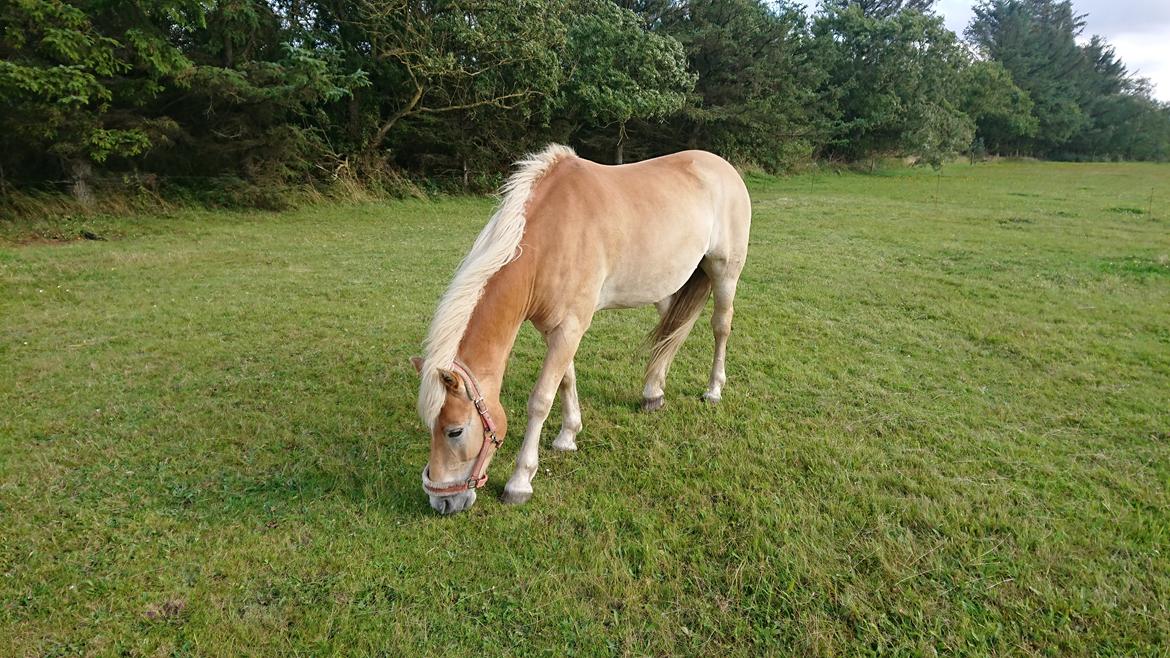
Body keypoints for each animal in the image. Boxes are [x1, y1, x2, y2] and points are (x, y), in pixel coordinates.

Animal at [411, 143, 748, 512]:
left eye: (454, 431)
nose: (442, 502)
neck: (550, 237)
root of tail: (723, 167)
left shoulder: (569, 328)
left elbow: (541, 399)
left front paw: (520, 482)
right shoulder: (557, 329)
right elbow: (566, 380)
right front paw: (568, 435)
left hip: (725, 273)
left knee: (720, 327)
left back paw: (713, 389)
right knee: (669, 330)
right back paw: (653, 392)